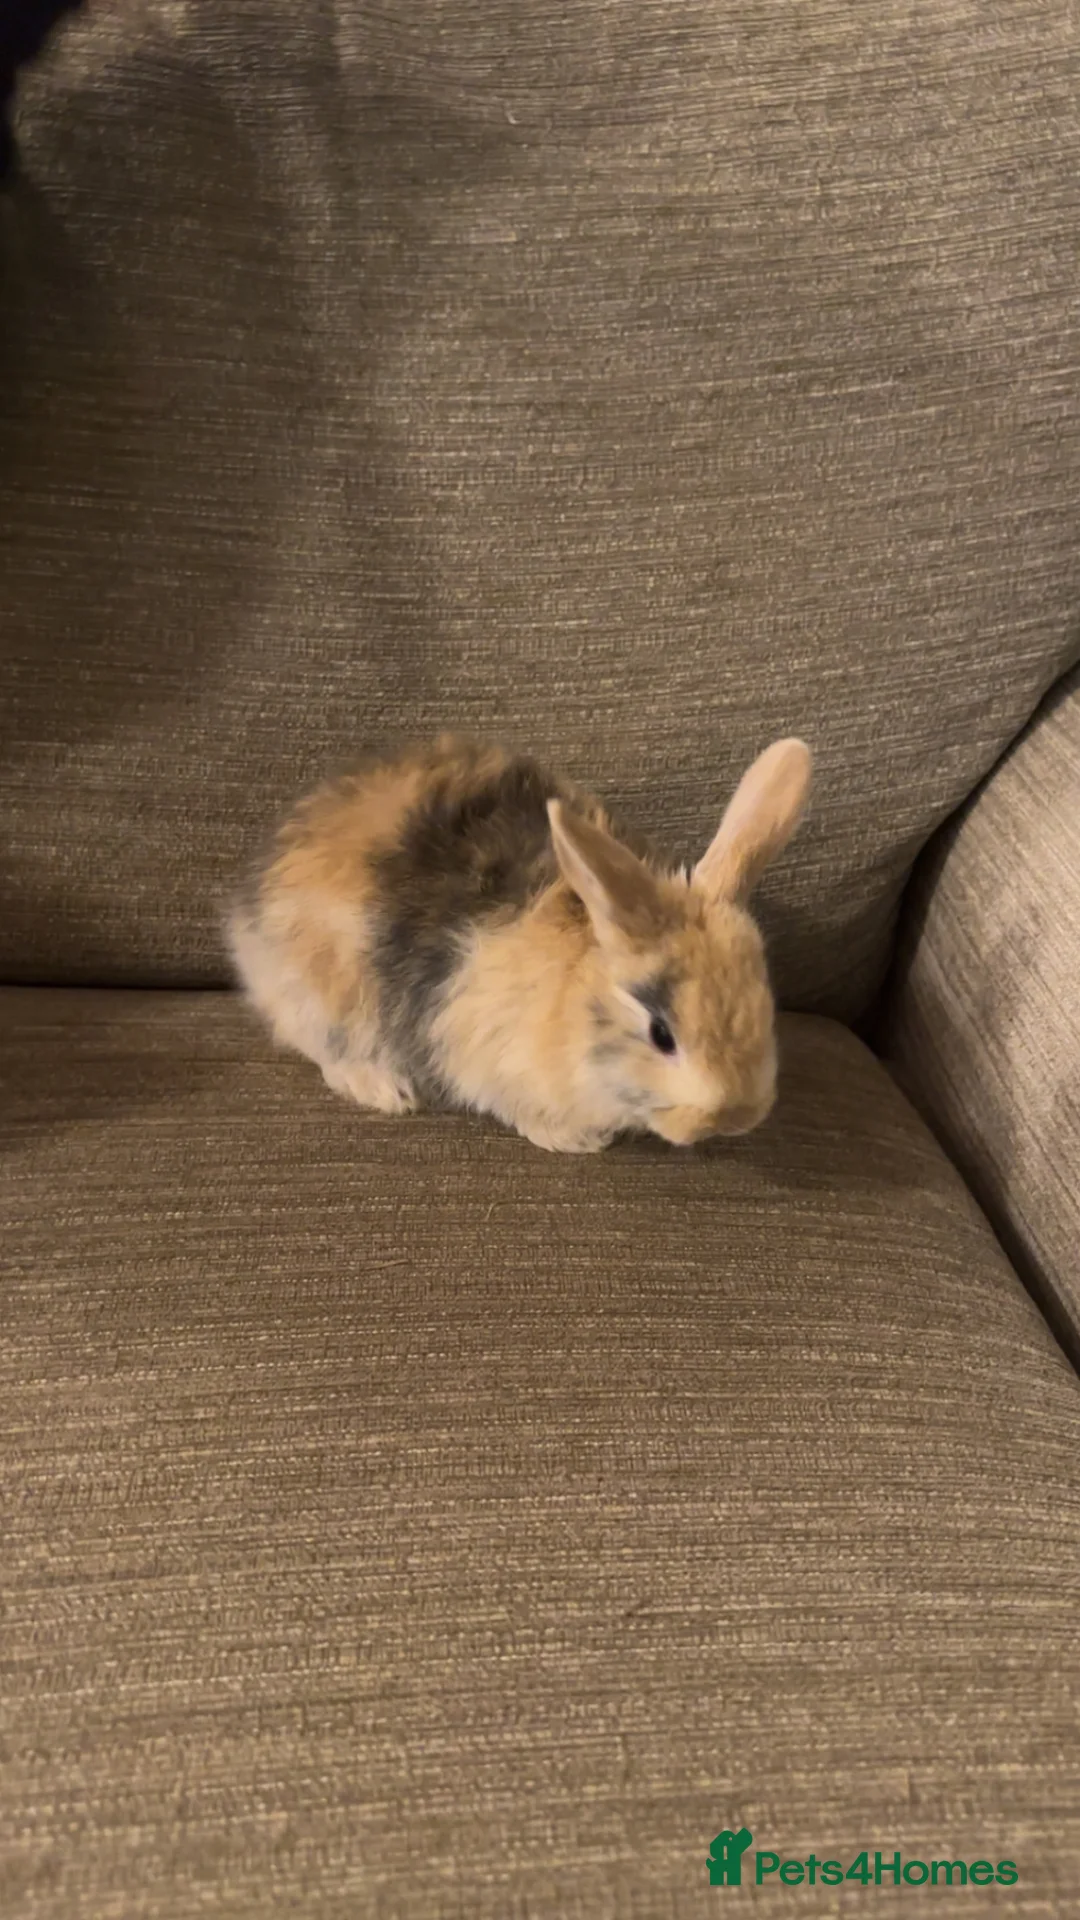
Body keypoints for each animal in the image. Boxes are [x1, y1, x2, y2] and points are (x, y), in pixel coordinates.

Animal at [227, 731, 812, 1153]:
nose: (736, 1118)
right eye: (661, 1034)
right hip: (320, 994)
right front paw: (578, 1141)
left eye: (765, 998)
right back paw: (385, 1088)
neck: (571, 996)